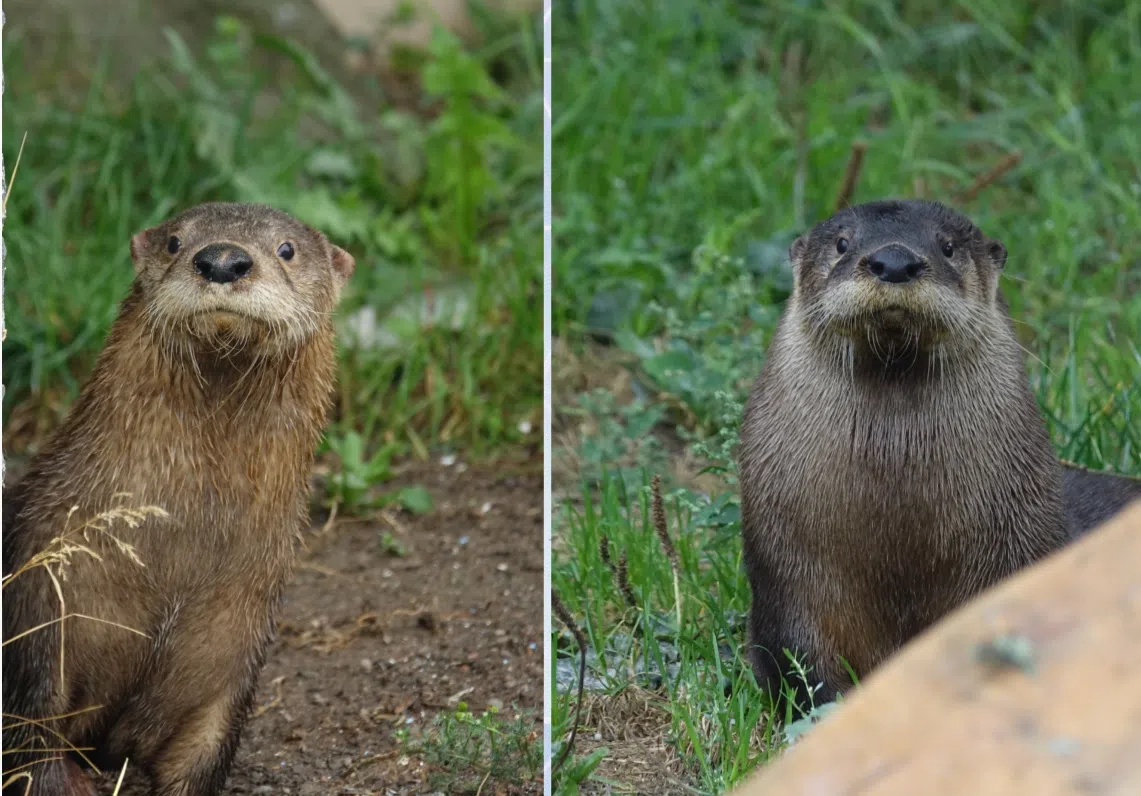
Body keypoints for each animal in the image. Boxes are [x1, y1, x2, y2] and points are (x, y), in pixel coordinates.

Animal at [1, 201, 355, 789]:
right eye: (174, 241)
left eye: (287, 249)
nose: (223, 260)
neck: (174, 567)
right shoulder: (38, 611)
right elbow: (31, 741)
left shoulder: (234, 655)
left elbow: (201, 755)